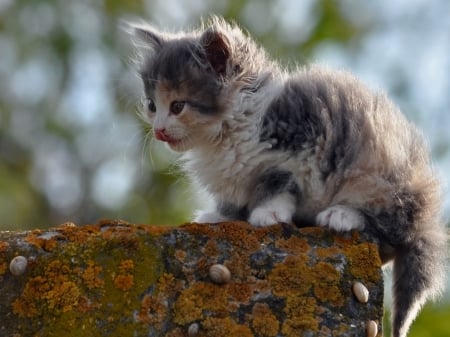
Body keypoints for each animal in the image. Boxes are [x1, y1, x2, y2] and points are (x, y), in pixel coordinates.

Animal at [129, 17, 446, 336]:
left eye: (178, 106)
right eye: (152, 106)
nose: (159, 130)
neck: (226, 131)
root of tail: (426, 215)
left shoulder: (299, 149)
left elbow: (278, 183)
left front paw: (267, 214)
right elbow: (234, 196)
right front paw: (219, 216)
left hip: (378, 174)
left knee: (390, 233)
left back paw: (342, 215)